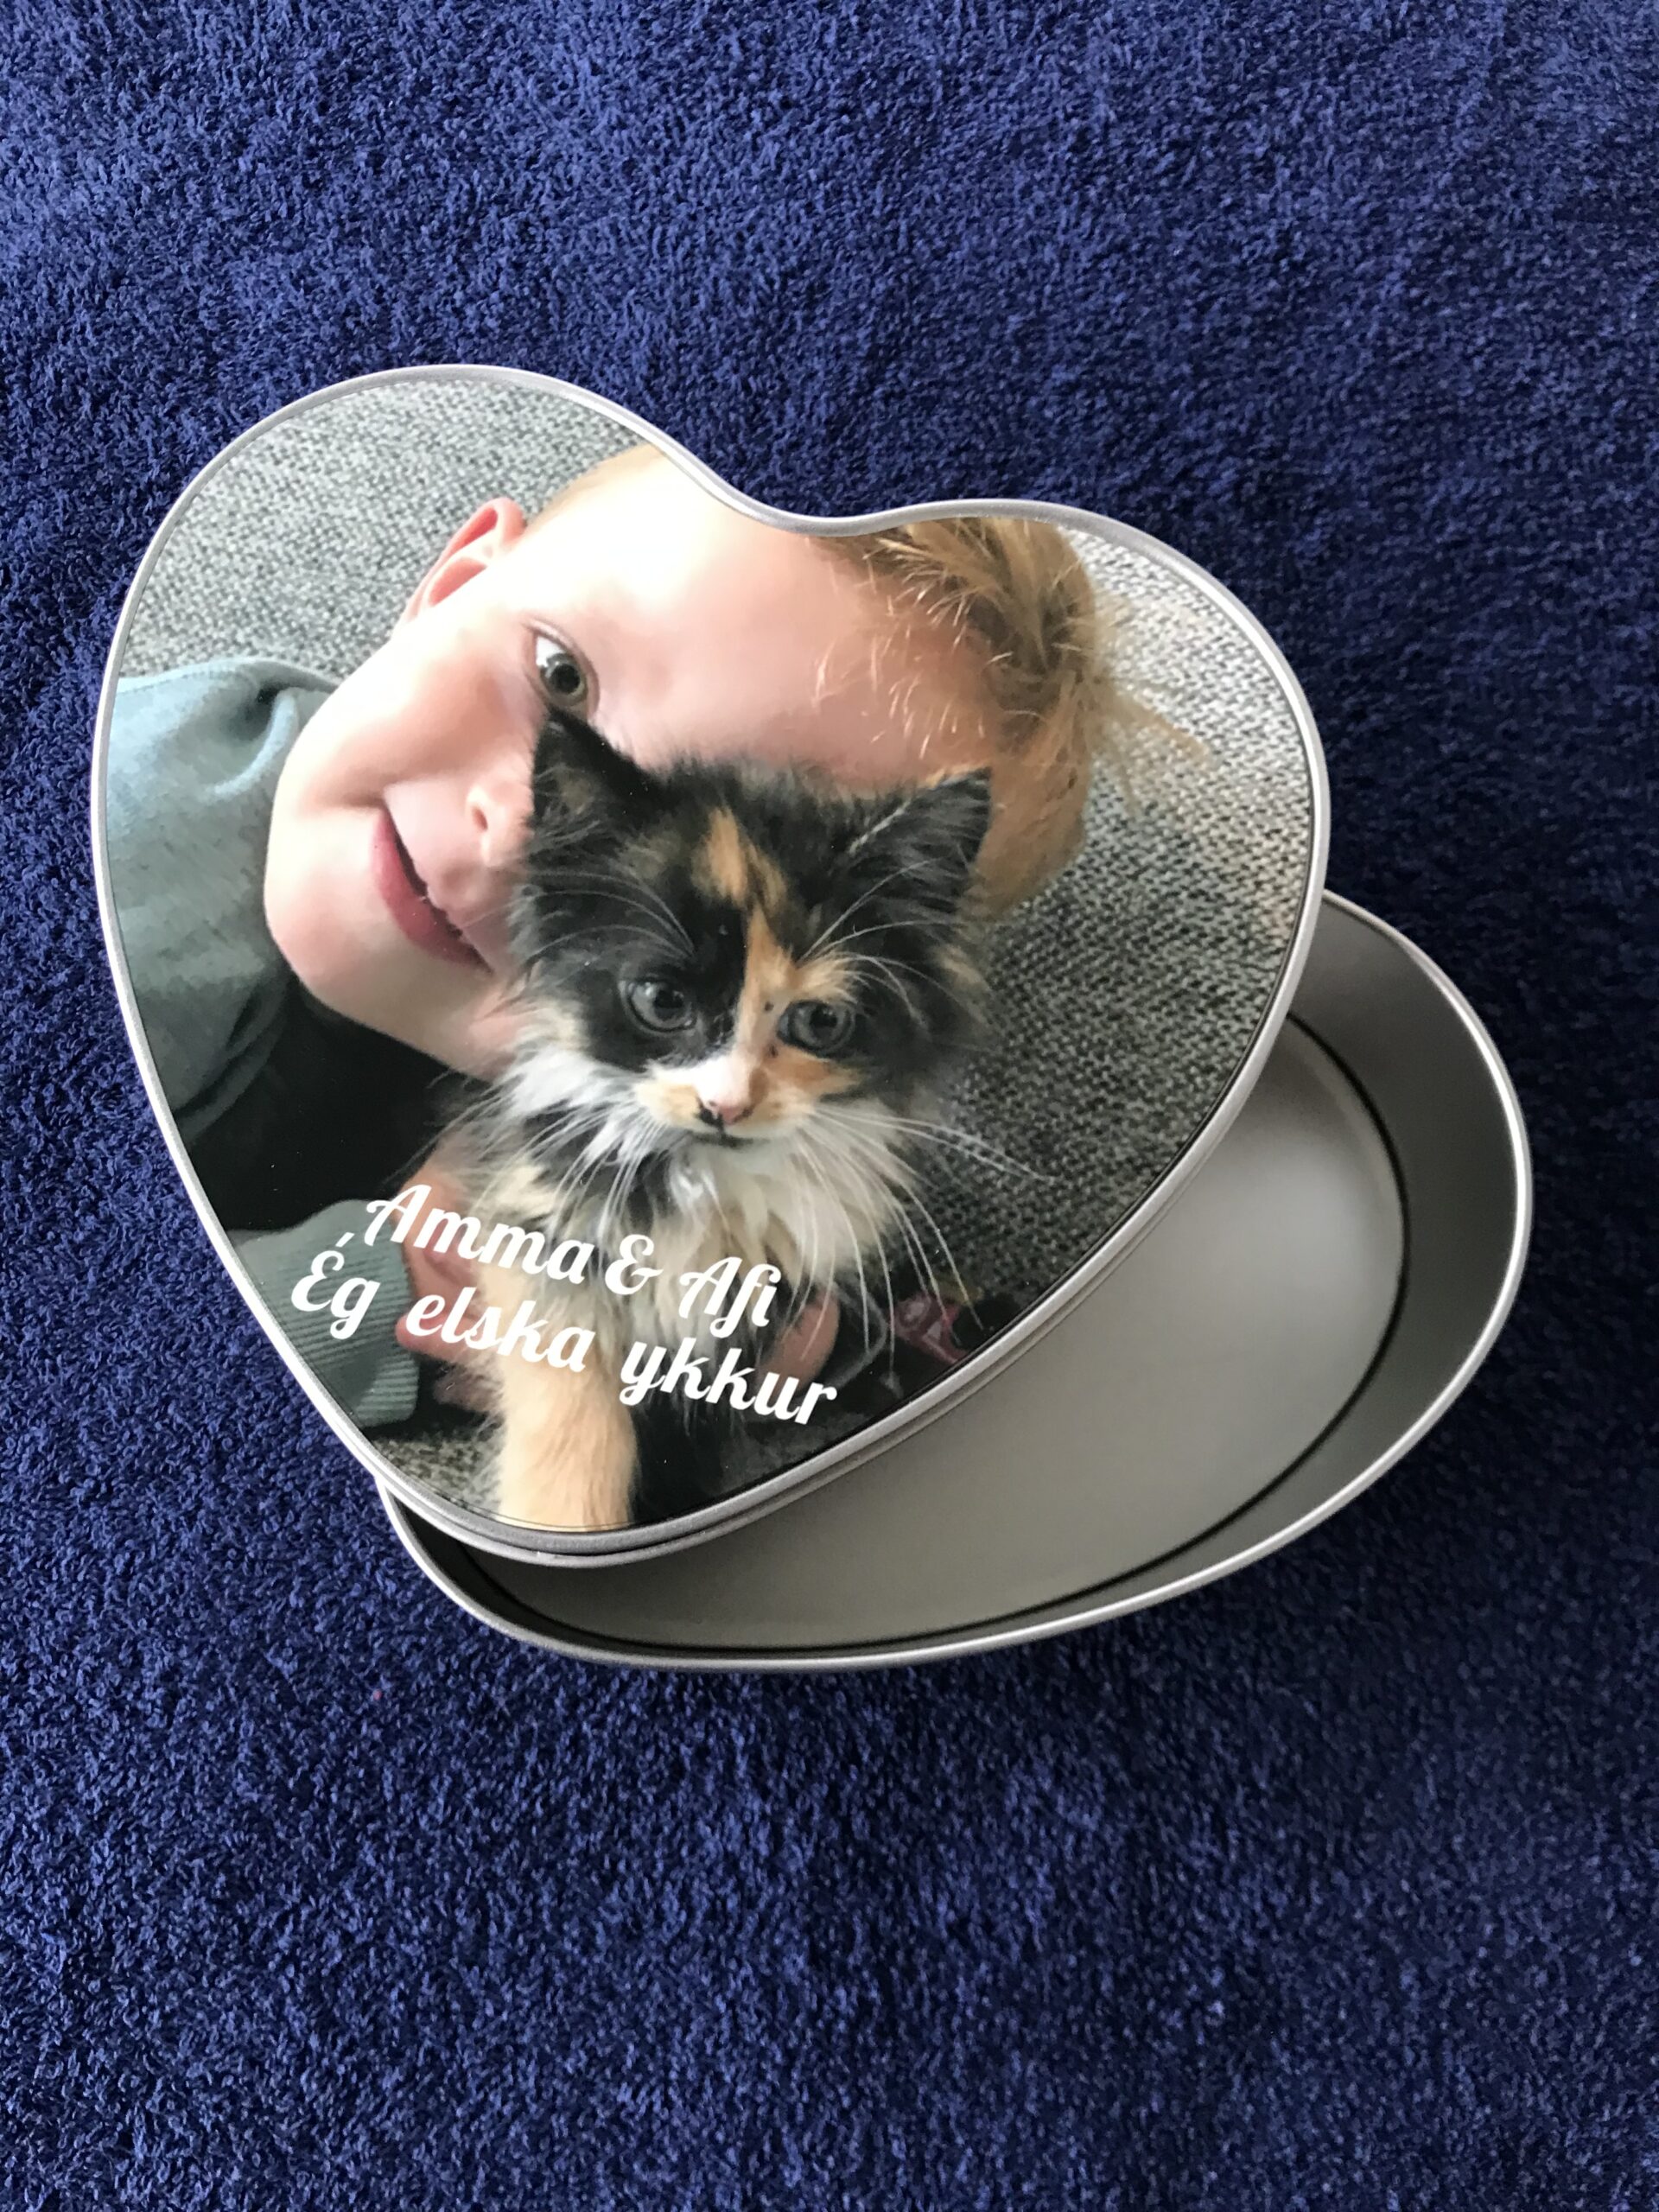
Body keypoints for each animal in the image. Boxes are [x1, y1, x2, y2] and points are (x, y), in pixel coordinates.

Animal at [449, 703, 993, 1531]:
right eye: (662, 1001)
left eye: (820, 1022)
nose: (726, 1104)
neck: (708, 1181)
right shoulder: (536, 1214)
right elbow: (570, 1393)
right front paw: (565, 1522)